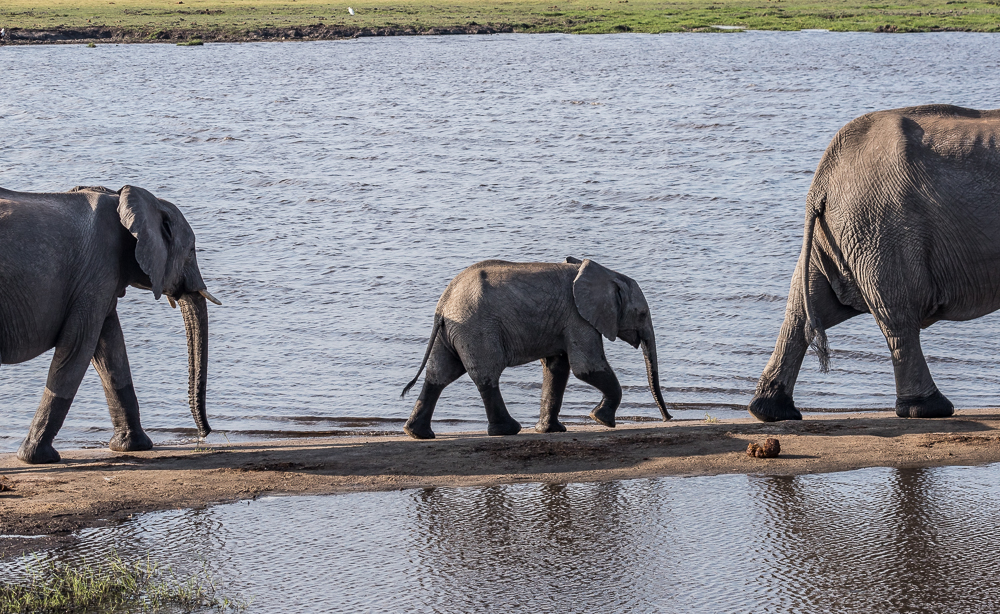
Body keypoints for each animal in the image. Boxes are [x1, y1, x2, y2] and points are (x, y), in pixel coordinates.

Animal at [0, 185, 223, 464]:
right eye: (192, 250)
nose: (204, 434)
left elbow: (111, 353)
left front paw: (133, 446)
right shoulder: (95, 275)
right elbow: (77, 349)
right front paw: (37, 458)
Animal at [400, 258, 672, 440]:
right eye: (642, 313)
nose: (668, 419)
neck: (605, 273)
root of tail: (444, 303)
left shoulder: (564, 321)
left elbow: (557, 369)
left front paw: (551, 431)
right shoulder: (577, 318)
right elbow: (587, 368)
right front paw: (601, 420)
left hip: (453, 332)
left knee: (440, 373)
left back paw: (417, 434)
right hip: (477, 328)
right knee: (486, 374)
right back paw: (509, 430)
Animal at [748, 106, 1000, 424]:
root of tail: (822, 180)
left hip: (839, 235)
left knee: (803, 311)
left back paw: (771, 410)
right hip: (882, 229)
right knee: (897, 315)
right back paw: (929, 408)